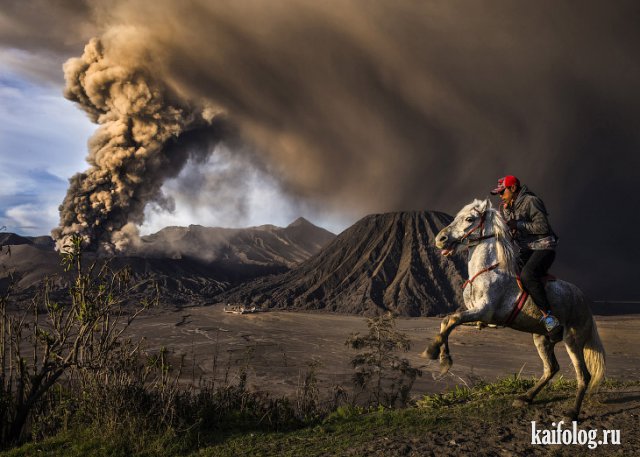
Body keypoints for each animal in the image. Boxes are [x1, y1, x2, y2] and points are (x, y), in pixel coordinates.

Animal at [424, 200, 604, 420]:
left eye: (469, 218)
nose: (440, 239)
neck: (489, 271)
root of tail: (583, 301)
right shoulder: (476, 316)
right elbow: (447, 322)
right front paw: (443, 357)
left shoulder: (484, 311)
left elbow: (452, 320)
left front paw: (433, 352)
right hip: (541, 338)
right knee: (551, 368)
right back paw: (525, 398)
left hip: (573, 340)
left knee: (584, 375)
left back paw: (572, 412)